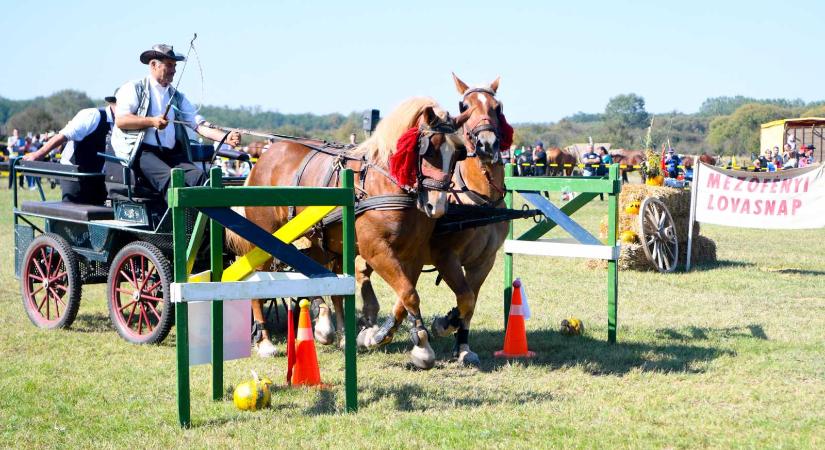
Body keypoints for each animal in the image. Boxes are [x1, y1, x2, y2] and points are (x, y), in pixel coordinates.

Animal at [225, 98, 470, 370]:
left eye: (458, 153)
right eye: (429, 150)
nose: (436, 206)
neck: (384, 183)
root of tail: (264, 158)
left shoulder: (412, 253)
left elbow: (409, 297)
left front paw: (392, 335)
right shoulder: (376, 250)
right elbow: (409, 293)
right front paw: (422, 347)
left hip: (322, 243)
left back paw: (333, 330)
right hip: (265, 242)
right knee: (257, 282)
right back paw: (265, 341)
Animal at [358, 74, 512, 366]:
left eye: (497, 107)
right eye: (464, 105)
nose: (487, 144)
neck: (479, 201)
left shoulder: (484, 261)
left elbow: (469, 301)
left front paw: (461, 344)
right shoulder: (444, 255)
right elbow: (459, 296)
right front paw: (438, 325)